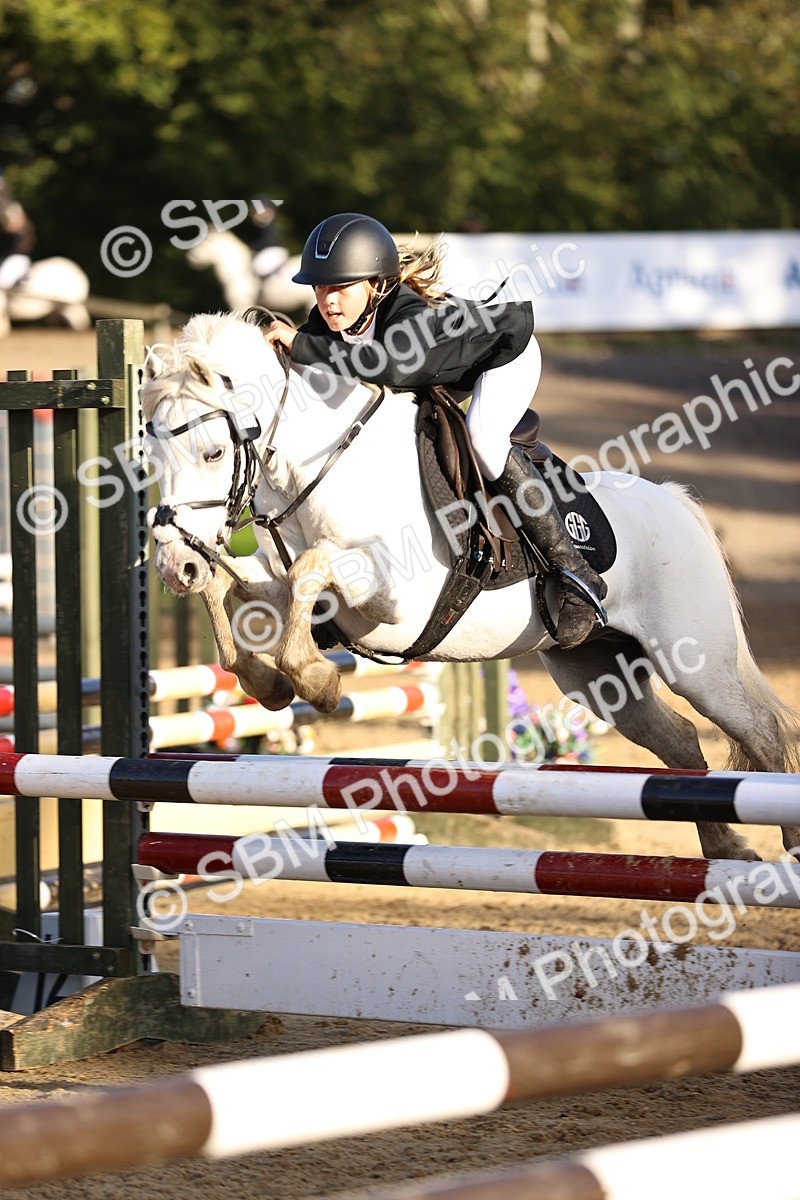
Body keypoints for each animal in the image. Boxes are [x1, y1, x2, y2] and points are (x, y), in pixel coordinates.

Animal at [140, 311, 800, 863]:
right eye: (148, 455)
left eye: (213, 452)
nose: (174, 567)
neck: (323, 464)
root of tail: (675, 502)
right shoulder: (287, 584)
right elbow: (235, 589)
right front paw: (265, 679)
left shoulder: (396, 598)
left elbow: (309, 569)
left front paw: (315, 679)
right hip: (595, 670)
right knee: (682, 741)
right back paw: (727, 848)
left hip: (695, 663)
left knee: (757, 731)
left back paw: (786, 843)